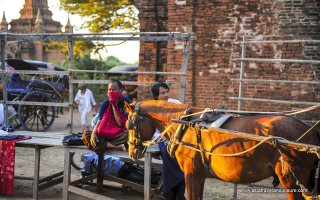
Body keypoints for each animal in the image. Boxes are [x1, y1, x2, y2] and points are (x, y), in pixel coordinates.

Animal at [125, 100, 320, 200]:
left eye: (129, 124)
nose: (132, 153)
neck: (185, 124)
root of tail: (308, 130)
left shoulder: (192, 173)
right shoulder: (200, 175)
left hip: (291, 177)